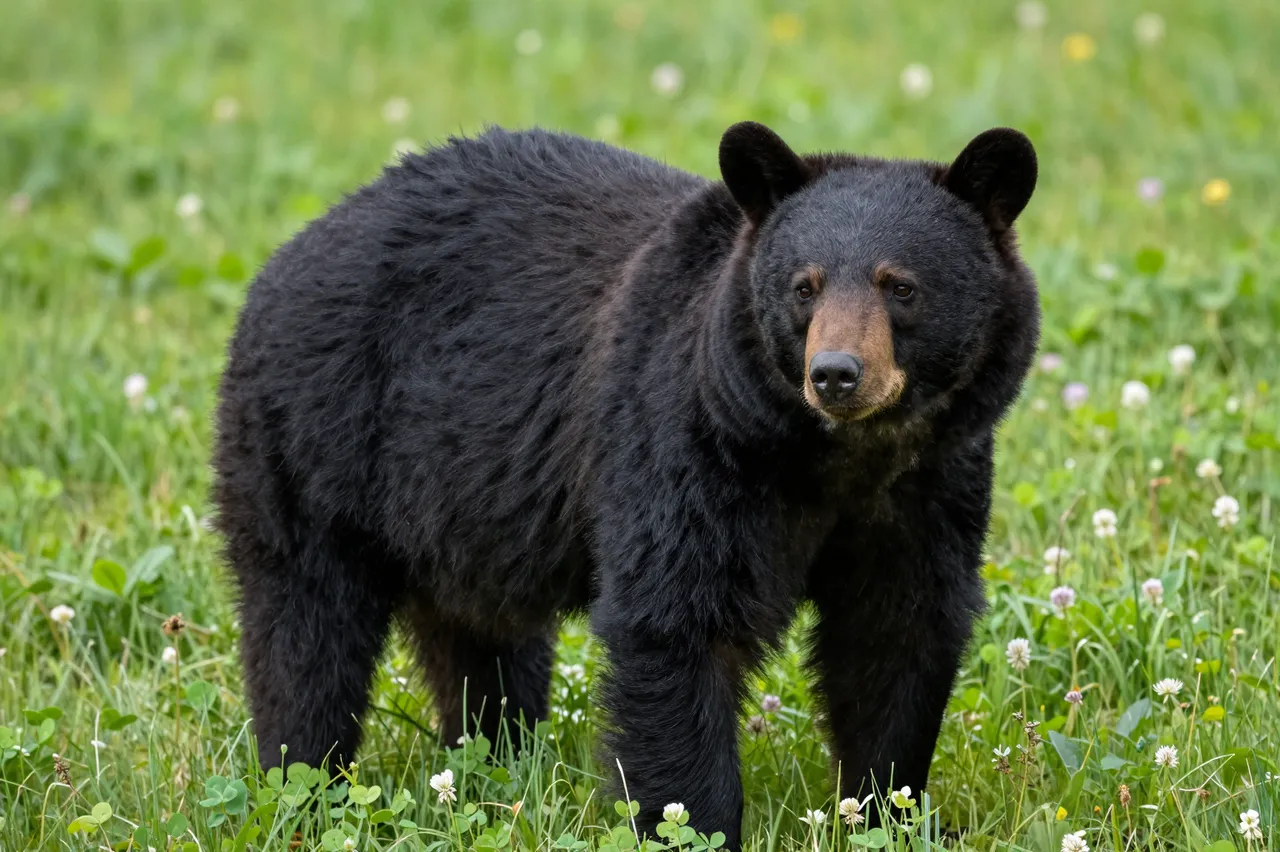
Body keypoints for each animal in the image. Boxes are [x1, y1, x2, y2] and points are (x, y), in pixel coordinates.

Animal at [212, 120, 1039, 848]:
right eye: (803, 287)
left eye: (900, 285)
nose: (835, 373)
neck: (835, 460)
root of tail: (286, 254)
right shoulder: (686, 443)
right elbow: (673, 623)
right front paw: (696, 826)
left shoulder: (929, 488)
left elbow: (897, 633)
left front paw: (889, 812)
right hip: (315, 441)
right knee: (306, 630)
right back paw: (303, 784)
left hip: (458, 508)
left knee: (480, 639)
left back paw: (495, 758)